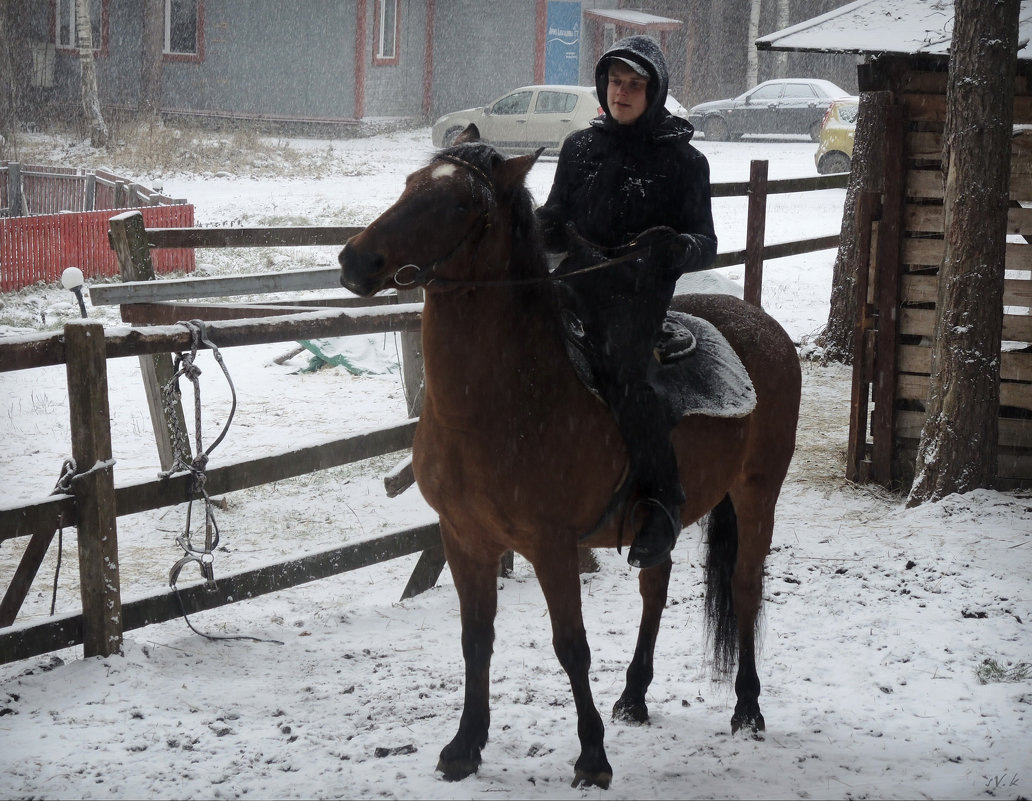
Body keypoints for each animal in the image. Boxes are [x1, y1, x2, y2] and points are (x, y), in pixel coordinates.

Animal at [338, 128, 804, 784]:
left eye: (459, 204)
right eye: (409, 185)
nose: (356, 260)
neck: (498, 403)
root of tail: (764, 325)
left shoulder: (551, 545)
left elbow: (571, 646)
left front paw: (592, 757)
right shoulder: (463, 537)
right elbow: (475, 639)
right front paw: (465, 746)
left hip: (758, 493)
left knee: (743, 587)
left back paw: (747, 710)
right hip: (665, 518)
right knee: (655, 586)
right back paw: (634, 697)